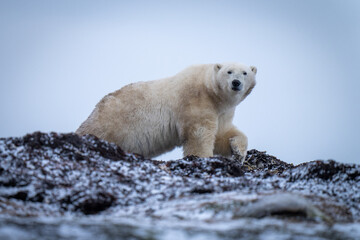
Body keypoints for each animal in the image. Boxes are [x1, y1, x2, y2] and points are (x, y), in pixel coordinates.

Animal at [76, 62, 256, 162]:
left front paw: (238, 153)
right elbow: (199, 134)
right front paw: (204, 157)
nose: (236, 83)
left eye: (245, 72)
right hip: (110, 125)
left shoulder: (223, 111)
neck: (211, 92)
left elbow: (222, 134)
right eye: (229, 71)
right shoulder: (195, 100)